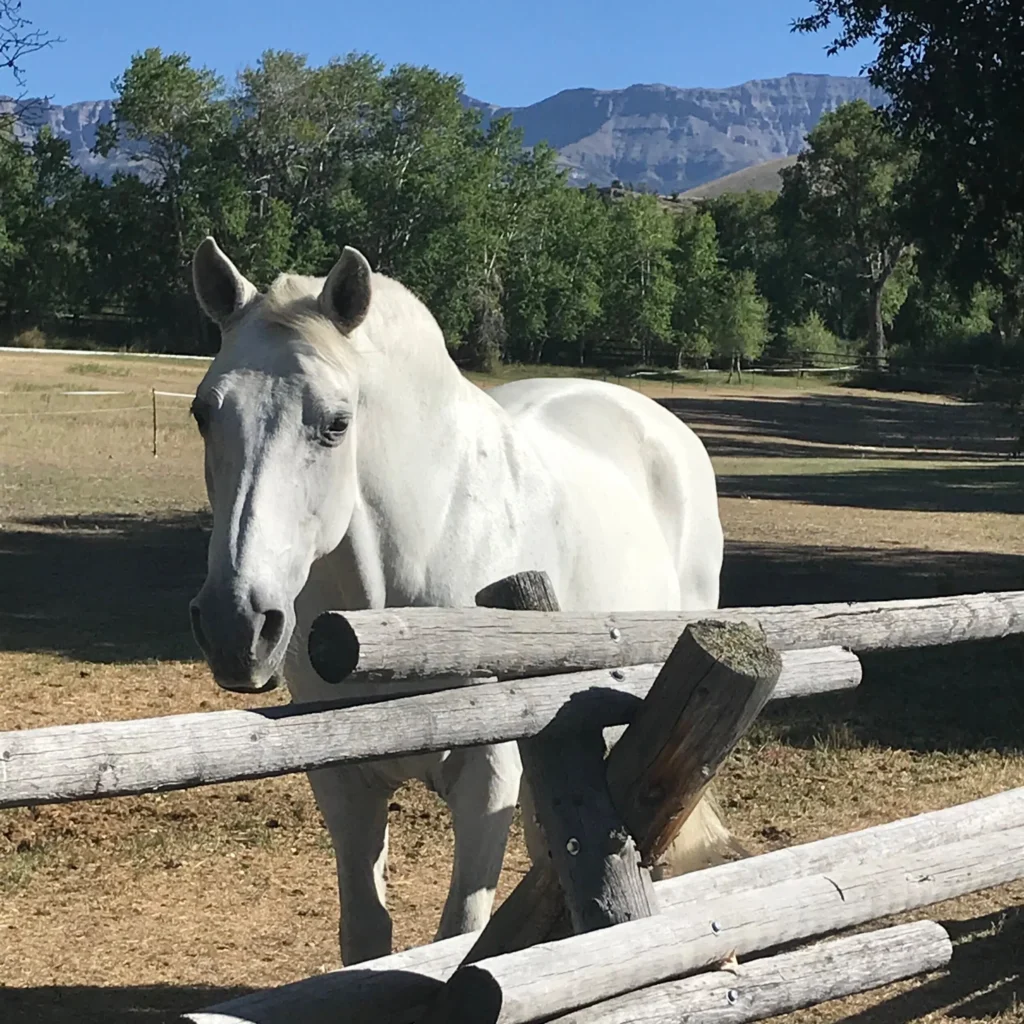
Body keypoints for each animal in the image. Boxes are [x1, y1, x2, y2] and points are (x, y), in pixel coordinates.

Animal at [187, 237, 736, 966]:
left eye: (336, 423)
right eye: (203, 413)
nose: (236, 626)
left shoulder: (487, 778)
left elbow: (459, 934)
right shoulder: (344, 783)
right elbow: (367, 939)